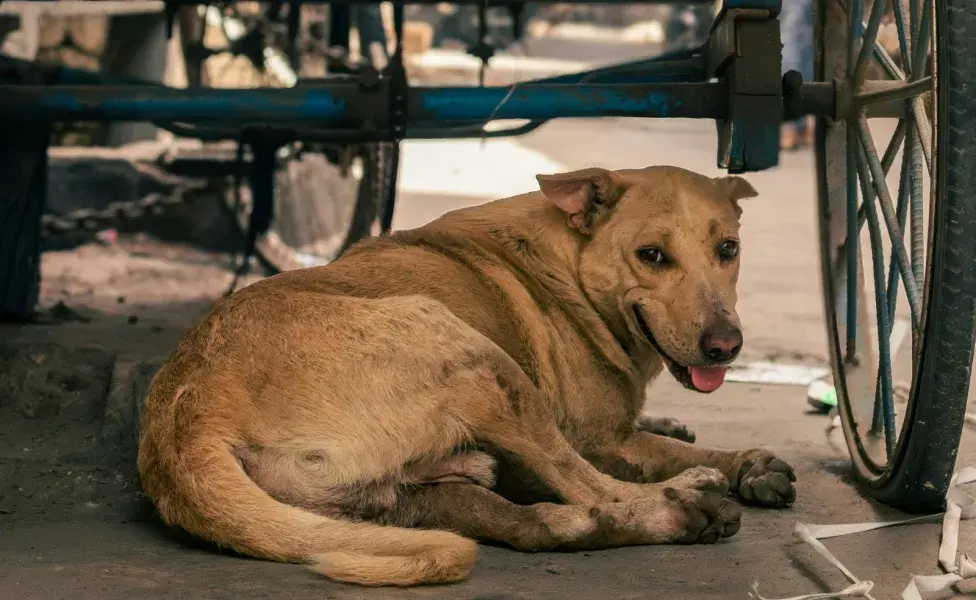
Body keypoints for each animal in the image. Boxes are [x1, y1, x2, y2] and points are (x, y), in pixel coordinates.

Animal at [135, 164, 792, 584]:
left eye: (729, 250)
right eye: (651, 256)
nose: (725, 346)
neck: (569, 262)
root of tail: (182, 420)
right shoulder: (598, 440)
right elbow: (645, 452)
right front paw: (729, 462)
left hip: (386, 503)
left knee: (538, 523)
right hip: (478, 360)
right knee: (585, 488)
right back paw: (688, 499)